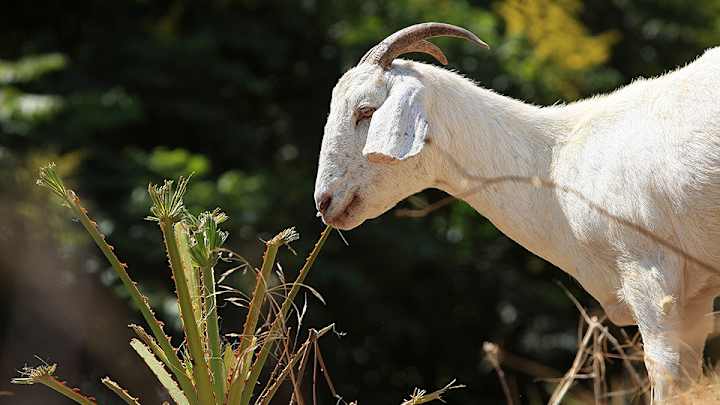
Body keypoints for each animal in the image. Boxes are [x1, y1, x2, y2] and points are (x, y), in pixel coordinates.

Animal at [313, 22, 720, 402]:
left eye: (365, 111)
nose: (324, 202)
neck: (555, 162)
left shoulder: (652, 280)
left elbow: (666, 379)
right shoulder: (695, 297)